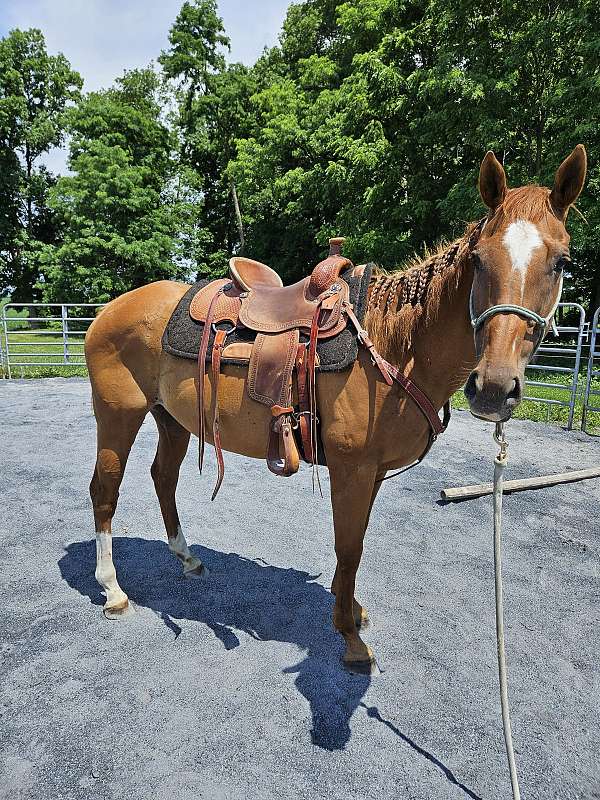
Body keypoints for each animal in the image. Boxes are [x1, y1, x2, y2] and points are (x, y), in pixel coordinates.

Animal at [85, 145, 586, 673]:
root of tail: (110, 308)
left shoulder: (372, 472)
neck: (396, 343)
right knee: (105, 490)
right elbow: (348, 546)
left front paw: (354, 611)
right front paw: (349, 637)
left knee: (164, 477)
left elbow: (357, 544)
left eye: (561, 262)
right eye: (479, 259)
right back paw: (113, 590)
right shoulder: (353, 469)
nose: (493, 388)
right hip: (118, 415)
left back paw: (187, 559)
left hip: (172, 419)